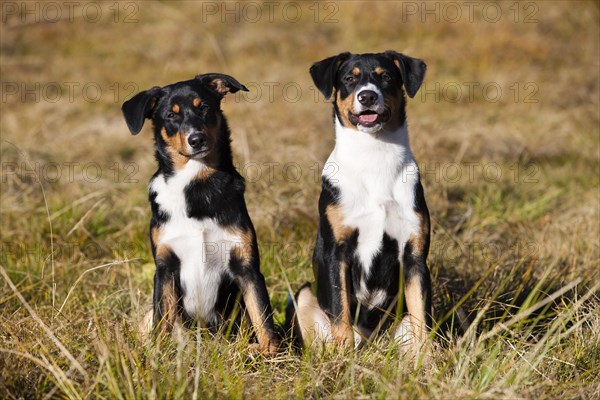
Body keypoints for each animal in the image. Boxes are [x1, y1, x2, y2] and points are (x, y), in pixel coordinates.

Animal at [123, 72, 282, 354]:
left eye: (204, 107)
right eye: (171, 115)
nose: (196, 139)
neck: (196, 185)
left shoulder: (246, 266)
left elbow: (263, 321)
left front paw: (272, 357)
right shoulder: (165, 267)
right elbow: (162, 322)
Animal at [286, 52, 432, 350]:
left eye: (386, 76)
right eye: (349, 78)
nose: (367, 96)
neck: (374, 158)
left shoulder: (414, 254)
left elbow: (420, 318)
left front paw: (426, 358)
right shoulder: (336, 252)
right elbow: (340, 311)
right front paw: (343, 357)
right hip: (305, 294)